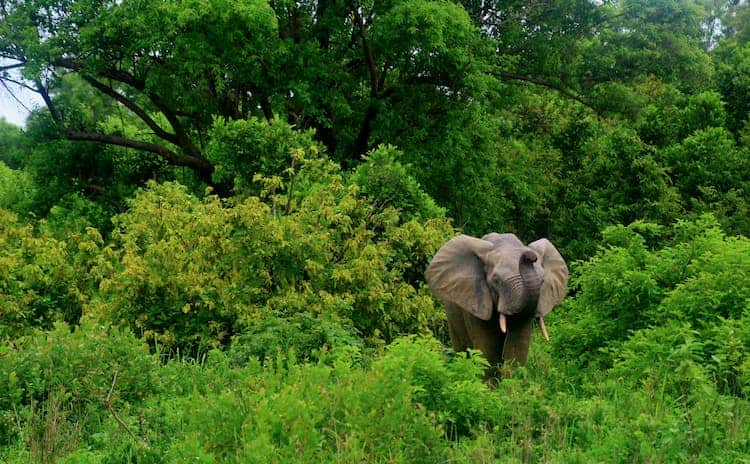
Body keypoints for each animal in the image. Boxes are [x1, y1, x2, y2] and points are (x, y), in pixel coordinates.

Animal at [426, 232, 568, 376]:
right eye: (496, 281)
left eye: (543, 281)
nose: (530, 256)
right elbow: (488, 349)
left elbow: (517, 346)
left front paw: (511, 381)